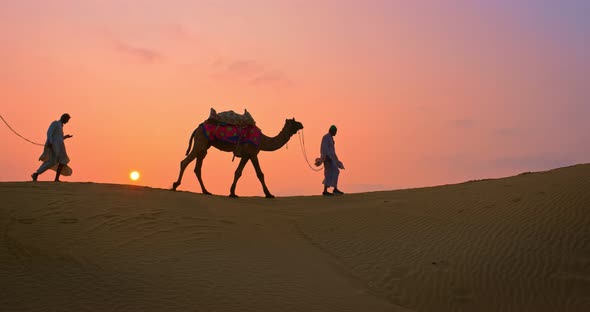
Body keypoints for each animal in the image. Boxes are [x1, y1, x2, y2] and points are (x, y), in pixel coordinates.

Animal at [170, 117, 300, 197]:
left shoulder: (247, 155)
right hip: (200, 142)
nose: (301, 124)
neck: (263, 140)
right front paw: (269, 195)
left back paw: (206, 191)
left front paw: (232, 192)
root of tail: (197, 128)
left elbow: (239, 172)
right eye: (294, 122)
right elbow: (259, 174)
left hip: (204, 146)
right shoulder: (252, 153)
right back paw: (175, 185)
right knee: (185, 162)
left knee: (197, 167)